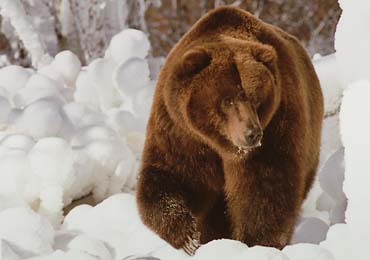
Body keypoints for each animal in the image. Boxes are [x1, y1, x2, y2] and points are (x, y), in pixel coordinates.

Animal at [136, 6, 324, 256]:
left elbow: (265, 190)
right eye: (228, 99)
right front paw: (188, 237)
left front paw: (255, 242)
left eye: (255, 97)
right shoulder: (181, 131)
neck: (222, 145)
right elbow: (171, 174)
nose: (252, 133)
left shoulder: (277, 125)